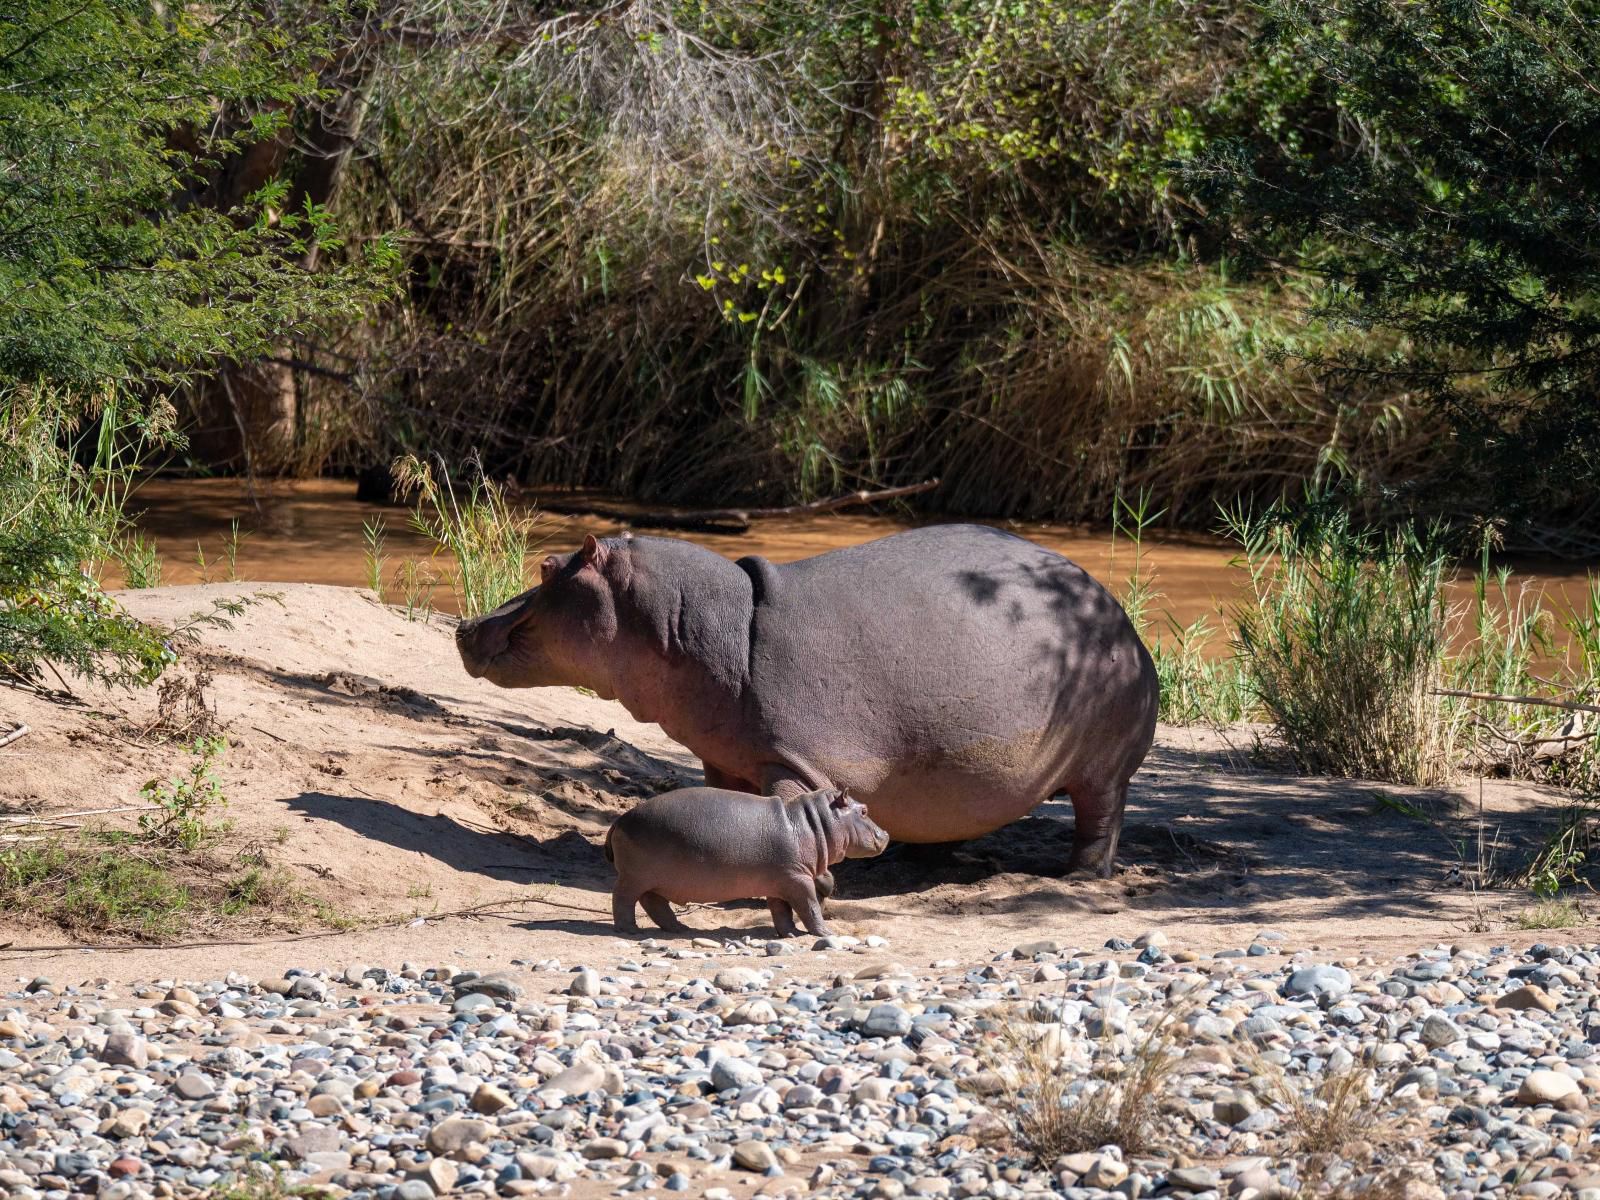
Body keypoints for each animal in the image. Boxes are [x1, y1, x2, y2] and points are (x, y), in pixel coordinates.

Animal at [457, 531, 1158, 876]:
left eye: (547, 567)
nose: (465, 625)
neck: (706, 625)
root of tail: (1113, 606)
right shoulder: (726, 758)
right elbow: (728, 807)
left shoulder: (797, 762)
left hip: (1104, 768)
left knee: (1100, 819)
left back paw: (1079, 880)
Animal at [604, 790, 896, 940]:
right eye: (864, 810)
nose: (886, 834)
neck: (814, 823)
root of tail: (620, 820)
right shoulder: (798, 879)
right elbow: (810, 906)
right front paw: (826, 933)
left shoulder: (782, 882)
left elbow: (781, 911)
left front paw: (790, 934)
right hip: (634, 876)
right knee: (623, 898)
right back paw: (629, 929)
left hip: (654, 880)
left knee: (653, 903)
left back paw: (679, 928)